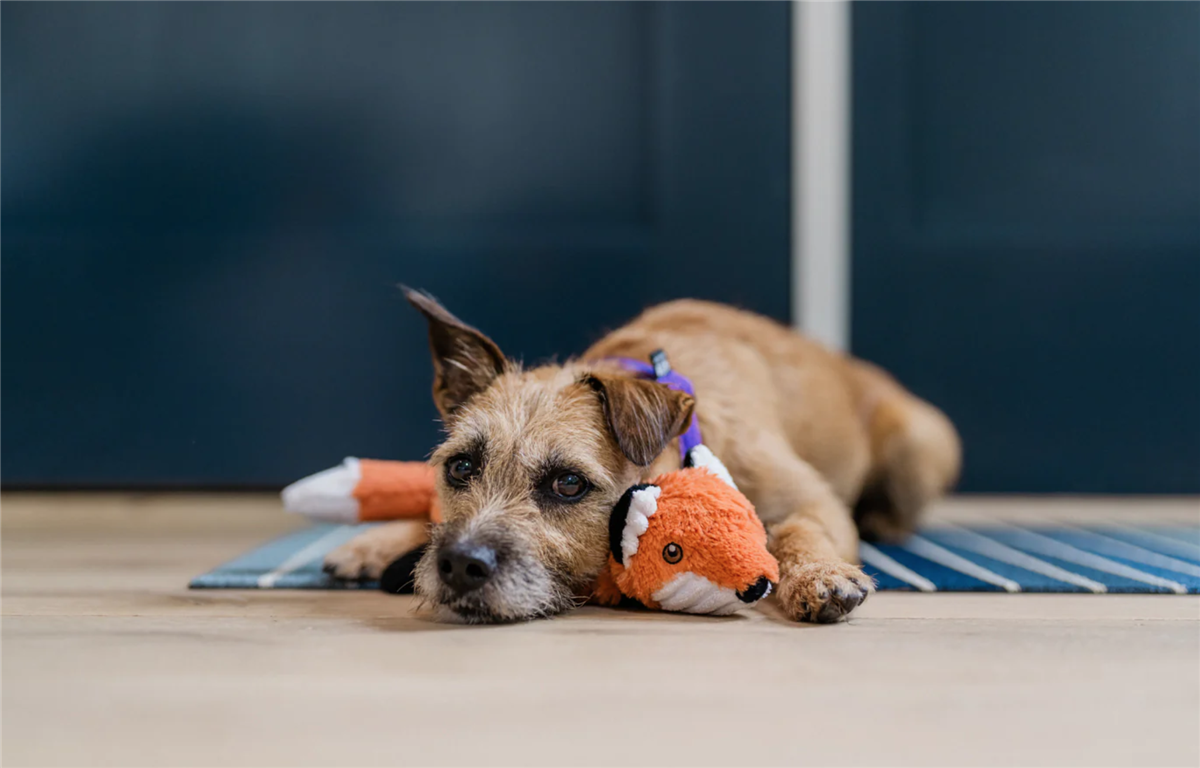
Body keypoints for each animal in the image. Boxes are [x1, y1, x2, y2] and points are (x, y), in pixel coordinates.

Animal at [324, 290, 960, 619]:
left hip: (919, 441)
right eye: (460, 467)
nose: (457, 565)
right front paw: (376, 540)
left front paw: (820, 575)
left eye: (569, 484)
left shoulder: (815, 501)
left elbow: (799, 530)